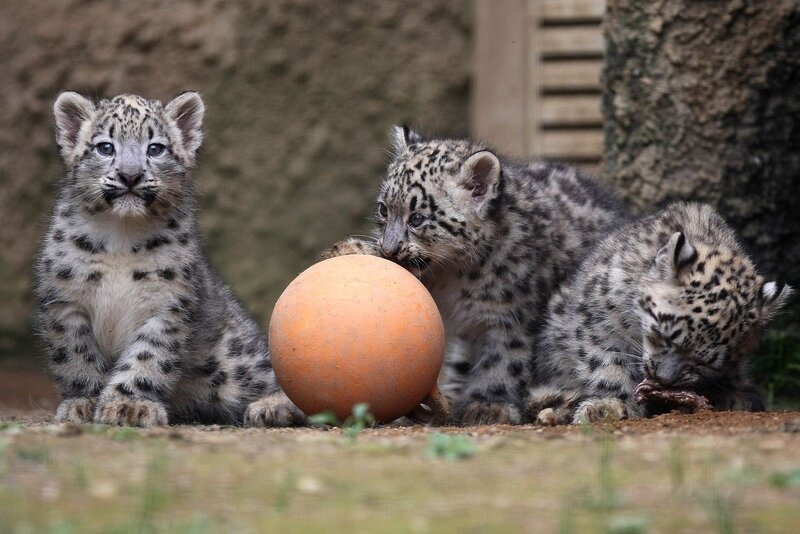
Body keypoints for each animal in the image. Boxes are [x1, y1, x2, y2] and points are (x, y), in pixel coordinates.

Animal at [35, 91, 305, 427]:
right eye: (105, 147)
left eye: (156, 148)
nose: (130, 175)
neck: (121, 235)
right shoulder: (65, 302)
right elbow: (76, 355)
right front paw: (83, 402)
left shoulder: (168, 305)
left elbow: (147, 357)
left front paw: (129, 405)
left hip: (234, 361)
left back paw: (271, 408)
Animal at [323, 126, 628, 425]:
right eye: (384, 209)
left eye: (417, 218)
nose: (389, 248)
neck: (452, 274)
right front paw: (352, 248)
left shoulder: (513, 316)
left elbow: (504, 359)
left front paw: (487, 404)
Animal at [525, 202, 792, 425]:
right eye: (663, 335)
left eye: (704, 362)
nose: (664, 379)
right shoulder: (598, 324)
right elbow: (607, 364)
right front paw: (611, 406)